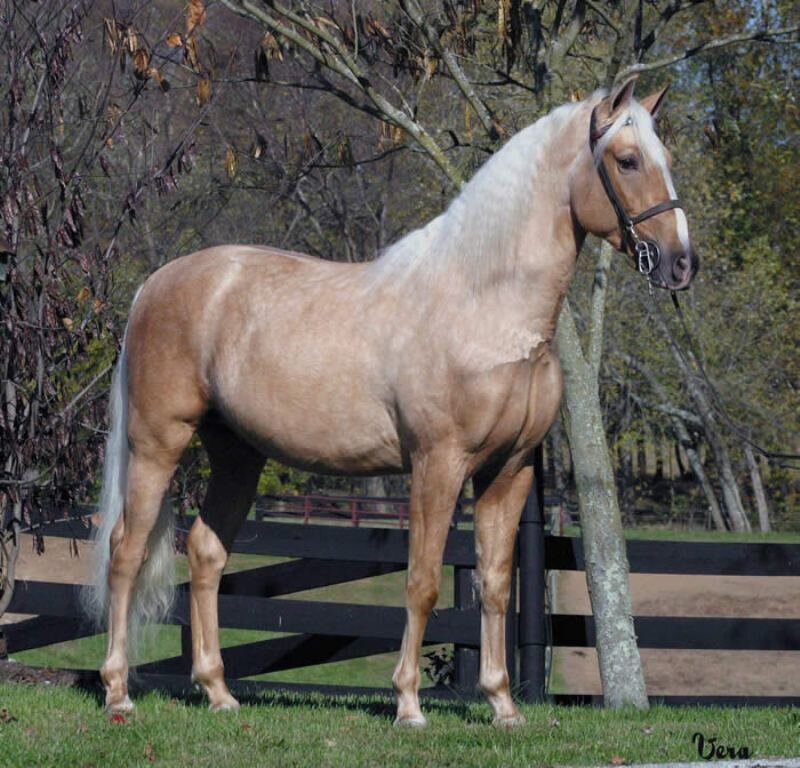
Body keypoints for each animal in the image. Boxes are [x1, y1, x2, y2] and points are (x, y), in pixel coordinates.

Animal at [84, 77, 697, 727]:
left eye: (665, 159)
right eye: (626, 161)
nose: (682, 262)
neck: (484, 307)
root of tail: (154, 284)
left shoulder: (508, 471)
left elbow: (496, 582)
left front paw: (502, 705)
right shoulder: (438, 463)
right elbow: (423, 581)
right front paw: (408, 704)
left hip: (238, 455)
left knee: (205, 552)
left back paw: (219, 692)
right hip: (158, 444)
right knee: (126, 551)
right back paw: (118, 691)